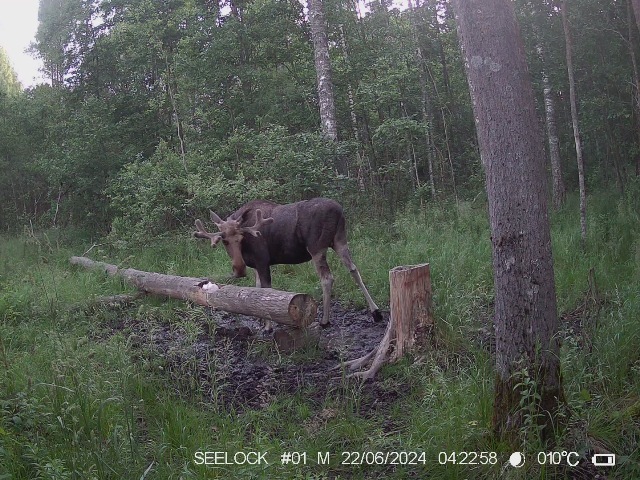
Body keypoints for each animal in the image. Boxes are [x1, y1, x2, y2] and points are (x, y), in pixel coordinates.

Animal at [194, 198, 381, 333]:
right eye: (224, 240)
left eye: (241, 238)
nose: (239, 269)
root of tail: (339, 210)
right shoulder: (256, 266)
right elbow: (257, 289)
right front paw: (260, 320)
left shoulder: (262, 261)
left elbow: (266, 290)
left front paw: (268, 326)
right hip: (340, 241)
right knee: (354, 269)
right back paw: (376, 312)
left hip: (317, 247)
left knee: (327, 278)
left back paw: (325, 321)